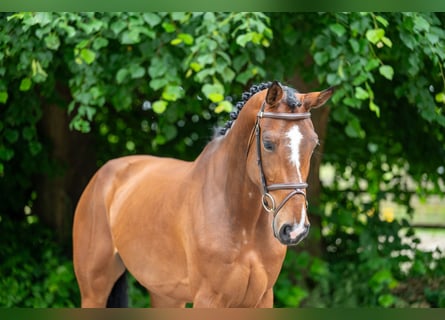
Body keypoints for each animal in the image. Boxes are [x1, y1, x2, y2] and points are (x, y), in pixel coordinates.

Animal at [71, 80, 332, 308]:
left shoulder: (261, 299)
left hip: (166, 295)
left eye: (314, 144)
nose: (294, 228)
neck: (242, 223)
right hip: (94, 292)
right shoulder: (209, 298)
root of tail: (103, 175)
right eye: (268, 143)